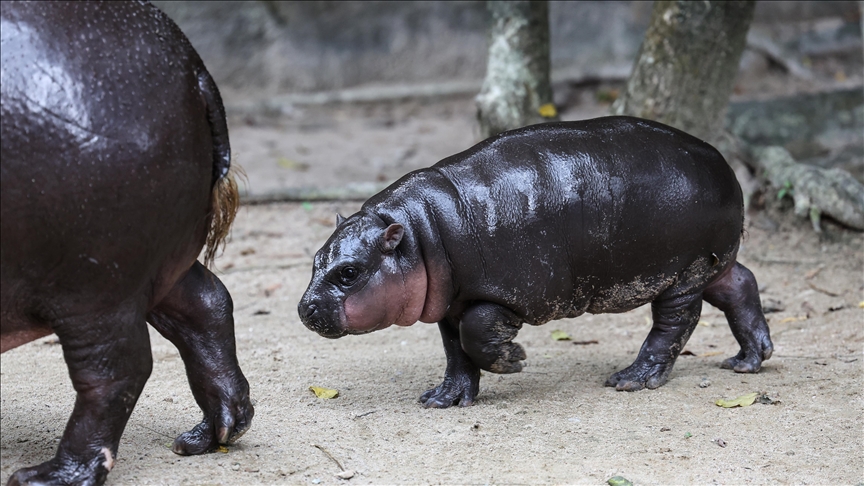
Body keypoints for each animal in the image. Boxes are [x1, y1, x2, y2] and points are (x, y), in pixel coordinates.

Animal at [1, 1, 253, 484]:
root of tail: (193, 68)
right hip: (153, 263)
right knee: (207, 305)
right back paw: (210, 435)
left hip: (92, 284)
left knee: (116, 372)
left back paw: (47, 475)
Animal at [298, 116, 776, 408]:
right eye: (316, 258)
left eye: (349, 272)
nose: (304, 309)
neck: (420, 233)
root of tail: (725, 165)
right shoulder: (450, 304)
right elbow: (456, 350)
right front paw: (441, 399)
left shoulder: (510, 296)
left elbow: (476, 334)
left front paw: (515, 359)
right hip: (713, 263)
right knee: (741, 284)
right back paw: (748, 360)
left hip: (682, 273)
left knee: (675, 323)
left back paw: (631, 379)